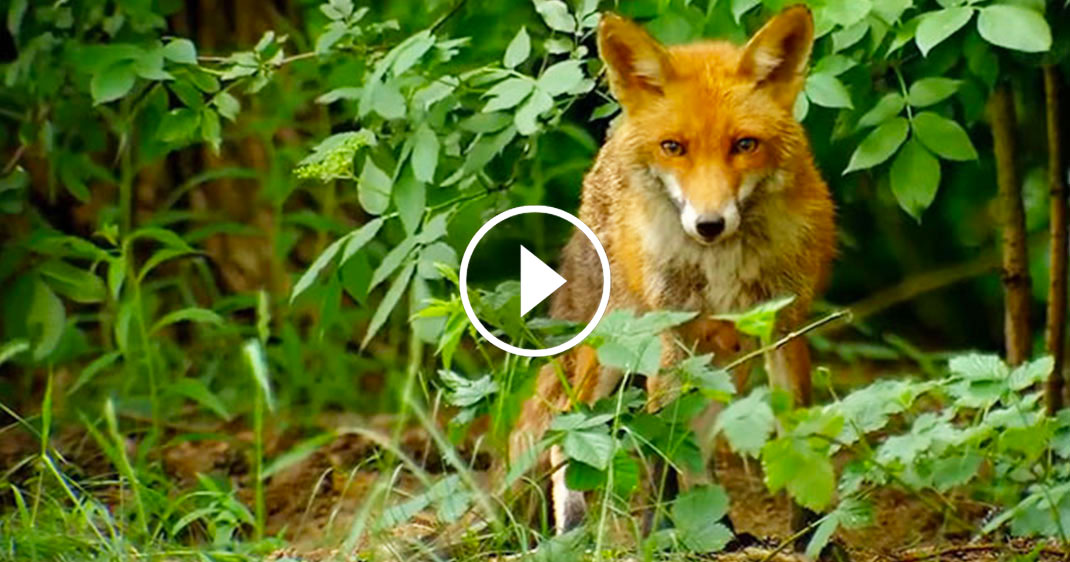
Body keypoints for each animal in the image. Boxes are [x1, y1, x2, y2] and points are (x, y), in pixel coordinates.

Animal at [506, 5, 836, 536]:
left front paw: (812, 535)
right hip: (614, 347)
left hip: (727, 357)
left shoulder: (783, 326)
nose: (709, 224)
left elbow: (796, 434)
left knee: (699, 444)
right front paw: (656, 534)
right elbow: (661, 443)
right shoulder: (671, 334)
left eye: (745, 144)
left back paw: (721, 535)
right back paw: (574, 529)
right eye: (673, 147)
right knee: (567, 425)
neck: (719, 263)